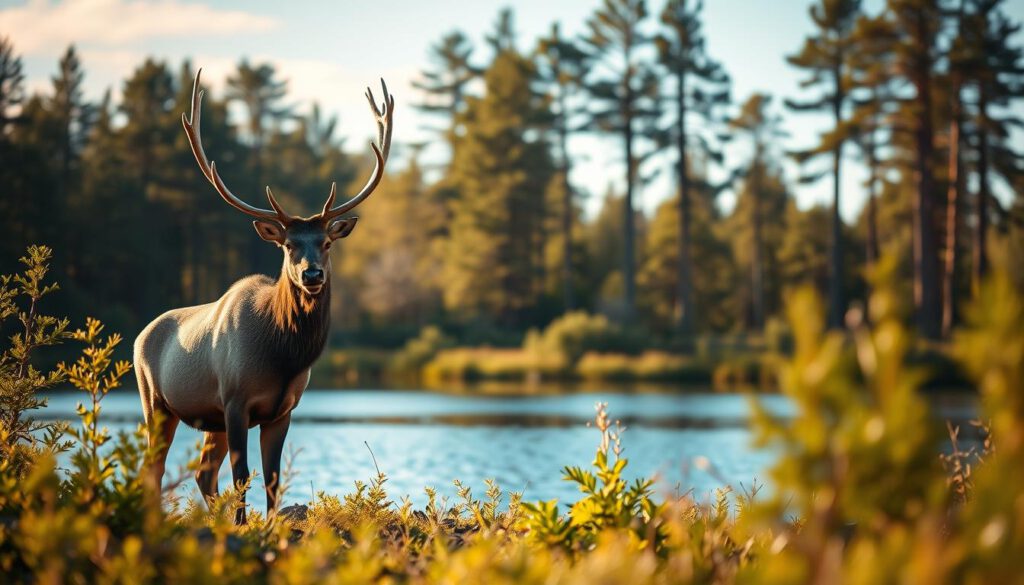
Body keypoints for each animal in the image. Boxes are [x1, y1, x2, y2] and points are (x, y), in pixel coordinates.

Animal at [133, 69, 393, 524]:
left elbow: (271, 478)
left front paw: (269, 526)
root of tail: (138, 335)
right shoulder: (235, 400)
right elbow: (243, 476)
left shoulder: (282, 409)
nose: (312, 274)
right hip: (156, 401)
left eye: (327, 242)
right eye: (288, 245)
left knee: (202, 473)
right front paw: (243, 527)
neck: (281, 356)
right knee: (157, 468)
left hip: (209, 419)